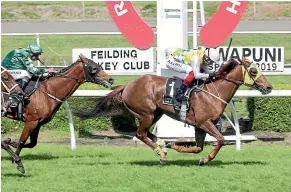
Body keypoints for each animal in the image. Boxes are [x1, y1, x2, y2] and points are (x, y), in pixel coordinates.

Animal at [75, 56, 274, 165]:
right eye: (254, 71)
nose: (269, 87)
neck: (212, 93)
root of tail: (128, 85)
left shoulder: (199, 126)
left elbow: (198, 148)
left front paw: (177, 147)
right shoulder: (204, 122)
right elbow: (220, 140)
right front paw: (206, 159)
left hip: (156, 113)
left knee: (147, 134)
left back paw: (165, 145)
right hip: (146, 113)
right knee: (141, 134)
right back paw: (162, 154)